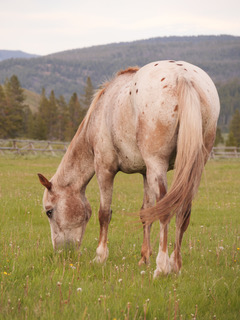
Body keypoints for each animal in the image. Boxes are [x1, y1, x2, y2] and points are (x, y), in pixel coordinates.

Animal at [37, 60, 219, 278]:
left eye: (49, 212)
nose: (62, 252)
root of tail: (183, 75)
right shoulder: (146, 173)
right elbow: (146, 213)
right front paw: (144, 258)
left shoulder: (105, 169)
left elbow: (104, 213)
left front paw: (100, 256)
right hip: (192, 167)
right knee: (183, 210)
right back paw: (175, 265)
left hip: (158, 163)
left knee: (166, 211)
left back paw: (162, 267)